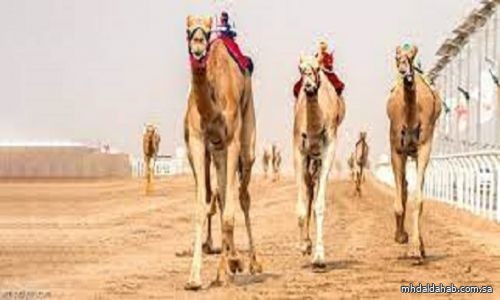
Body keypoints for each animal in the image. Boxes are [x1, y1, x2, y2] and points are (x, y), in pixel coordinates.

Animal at [184, 15, 262, 290]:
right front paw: (194, 278)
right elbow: (202, 207)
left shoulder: (232, 141)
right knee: (221, 195)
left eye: (207, 32)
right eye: (187, 30)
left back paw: (252, 262)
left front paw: (227, 269)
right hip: (216, 153)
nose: (197, 45)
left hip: (247, 136)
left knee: (243, 196)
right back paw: (231, 261)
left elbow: (229, 213)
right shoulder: (197, 142)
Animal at [386, 44, 442, 262]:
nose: (404, 71)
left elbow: (418, 199)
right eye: (397, 57)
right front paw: (401, 237)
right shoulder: (396, 149)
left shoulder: (424, 146)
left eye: (411, 56)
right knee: (403, 187)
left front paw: (415, 248)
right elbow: (399, 198)